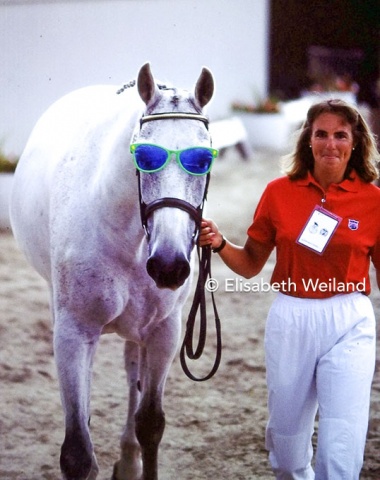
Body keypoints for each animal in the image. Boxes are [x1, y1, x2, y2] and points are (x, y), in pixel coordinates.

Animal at [9, 63, 217, 480]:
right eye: (144, 157)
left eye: (203, 160)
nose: (169, 265)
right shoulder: (74, 332)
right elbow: (77, 453)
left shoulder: (164, 331)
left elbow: (150, 423)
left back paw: (128, 460)